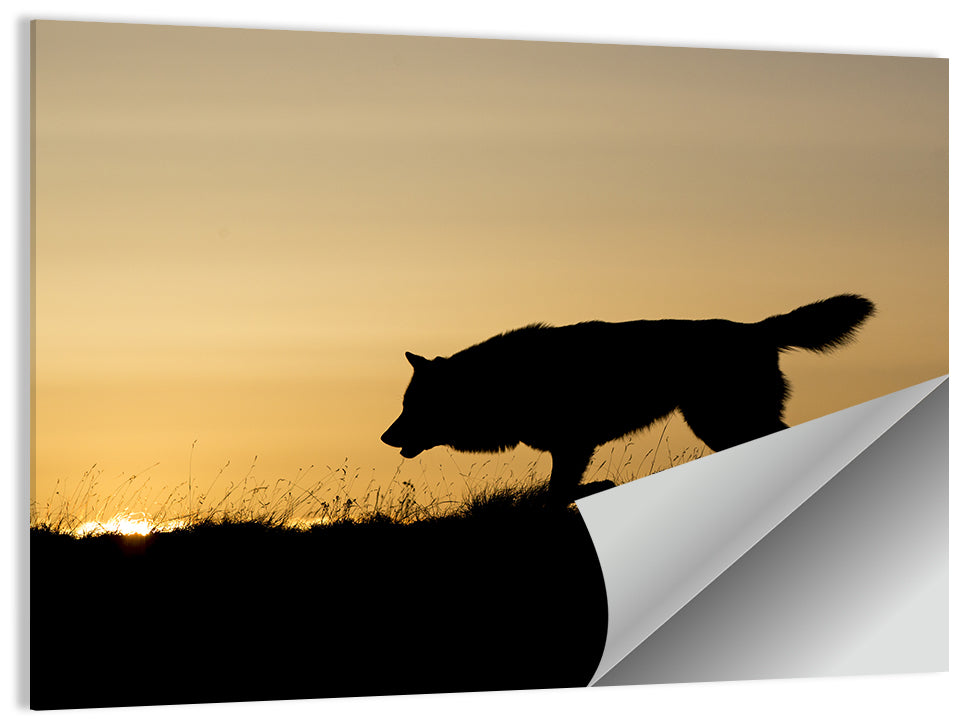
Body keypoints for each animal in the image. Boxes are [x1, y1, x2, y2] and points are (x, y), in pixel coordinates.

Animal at [381, 294, 875, 499]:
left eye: (412, 407)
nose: (385, 437)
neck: (499, 383)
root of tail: (756, 328)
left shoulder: (573, 443)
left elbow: (558, 492)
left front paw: (597, 488)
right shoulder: (570, 446)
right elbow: (557, 492)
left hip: (720, 421)